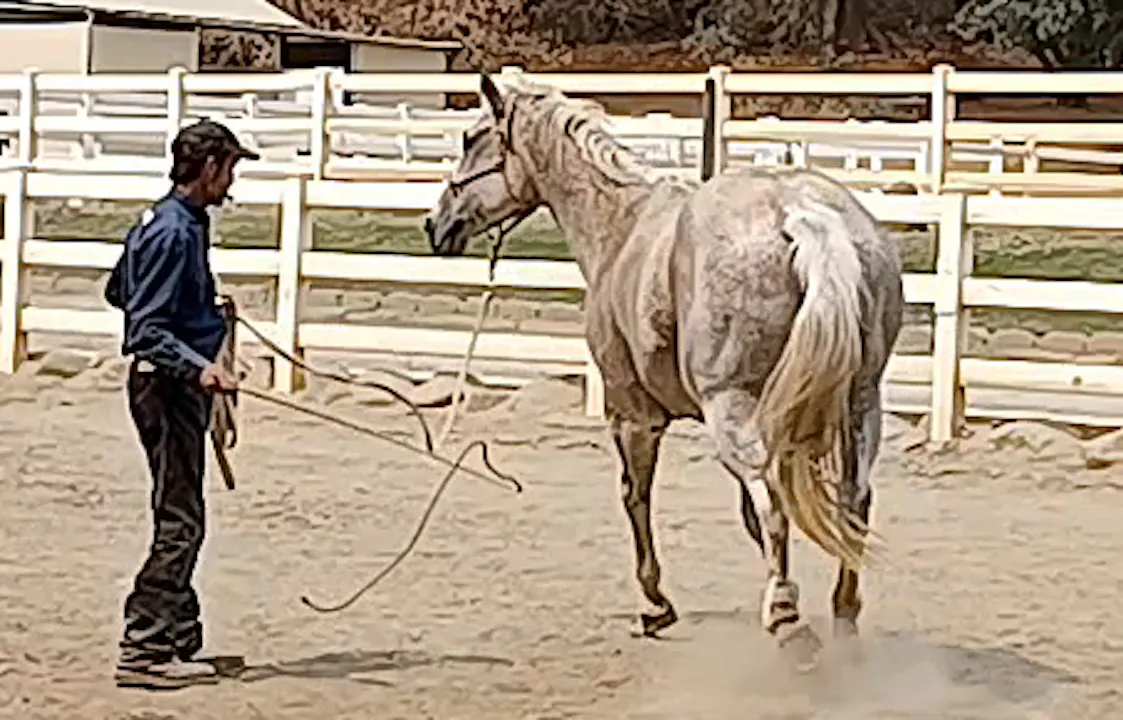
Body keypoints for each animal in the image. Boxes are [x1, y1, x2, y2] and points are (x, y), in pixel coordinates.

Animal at [423, 73, 903, 663]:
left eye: (470, 138)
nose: (436, 224)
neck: (621, 225)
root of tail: (801, 213)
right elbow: (749, 516)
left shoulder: (632, 413)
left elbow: (636, 495)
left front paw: (655, 605)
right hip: (861, 406)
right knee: (854, 501)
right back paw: (842, 615)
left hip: (733, 409)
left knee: (774, 502)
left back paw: (787, 621)